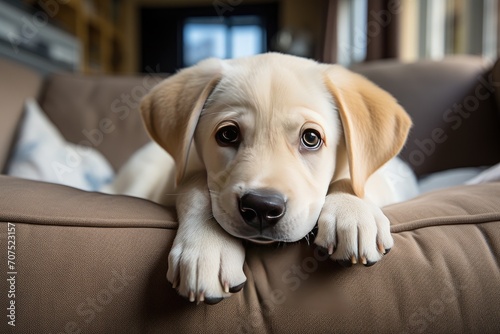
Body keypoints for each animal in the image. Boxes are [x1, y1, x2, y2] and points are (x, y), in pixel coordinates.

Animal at [106, 52, 418, 306]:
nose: (262, 207)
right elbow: (195, 187)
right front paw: (206, 248)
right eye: (228, 134)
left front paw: (352, 212)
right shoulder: (186, 170)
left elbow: (356, 179)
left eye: (311, 138)